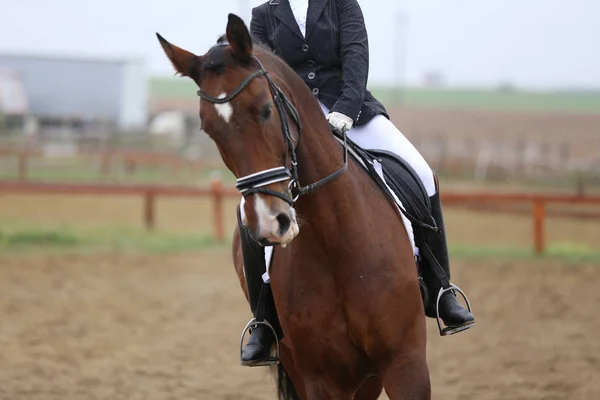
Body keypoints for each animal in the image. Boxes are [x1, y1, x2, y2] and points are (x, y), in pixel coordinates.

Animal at [156, 13, 432, 400]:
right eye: (208, 129)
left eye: (265, 110)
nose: (270, 223)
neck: (338, 242)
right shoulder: (320, 378)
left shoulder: (405, 364)